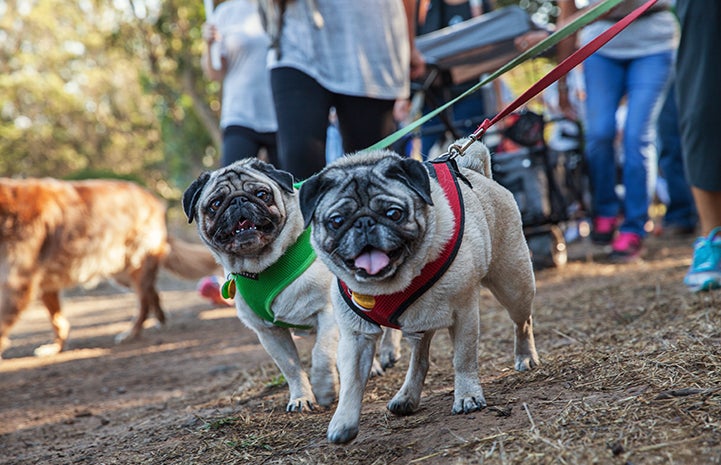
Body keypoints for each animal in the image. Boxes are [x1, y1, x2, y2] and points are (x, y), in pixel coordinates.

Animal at [0, 177, 219, 356]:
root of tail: (153, 199)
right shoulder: (47, 285)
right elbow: (58, 321)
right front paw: (57, 347)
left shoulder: (18, 284)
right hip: (123, 274)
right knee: (152, 293)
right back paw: (160, 319)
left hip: (135, 268)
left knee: (144, 303)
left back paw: (132, 333)